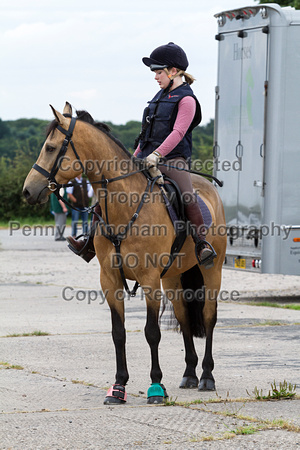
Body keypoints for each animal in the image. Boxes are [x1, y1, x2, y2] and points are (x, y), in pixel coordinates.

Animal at [22, 102, 225, 404]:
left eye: (50, 147)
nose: (27, 190)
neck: (126, 205)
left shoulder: (150, 279)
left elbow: (152, 333)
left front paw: (156, 387)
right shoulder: (110, 279)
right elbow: (118, 333)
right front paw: (118, 388)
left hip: (212, 270)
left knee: (209, 317)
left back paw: (207, 377)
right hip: (173, 278)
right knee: (184, 317)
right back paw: (189, 374)